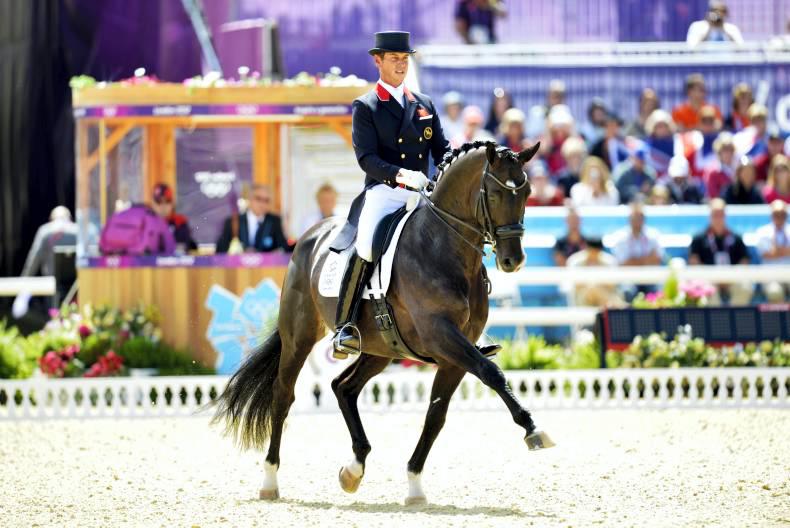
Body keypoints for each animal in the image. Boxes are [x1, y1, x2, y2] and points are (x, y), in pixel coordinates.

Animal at [213, 140, 554, 505]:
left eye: (527, 192)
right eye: (494, 193)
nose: (513, 260)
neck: (442, 246)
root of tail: (311, 236)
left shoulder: (455, 353)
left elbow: (436, 414)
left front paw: (415, 483)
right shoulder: (441, 336)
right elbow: (491, 373)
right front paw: (533, 429)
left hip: (380, 349)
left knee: (343, 387)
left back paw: (353, 469)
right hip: (299, 337)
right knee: (283, 395)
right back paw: (270, 479)